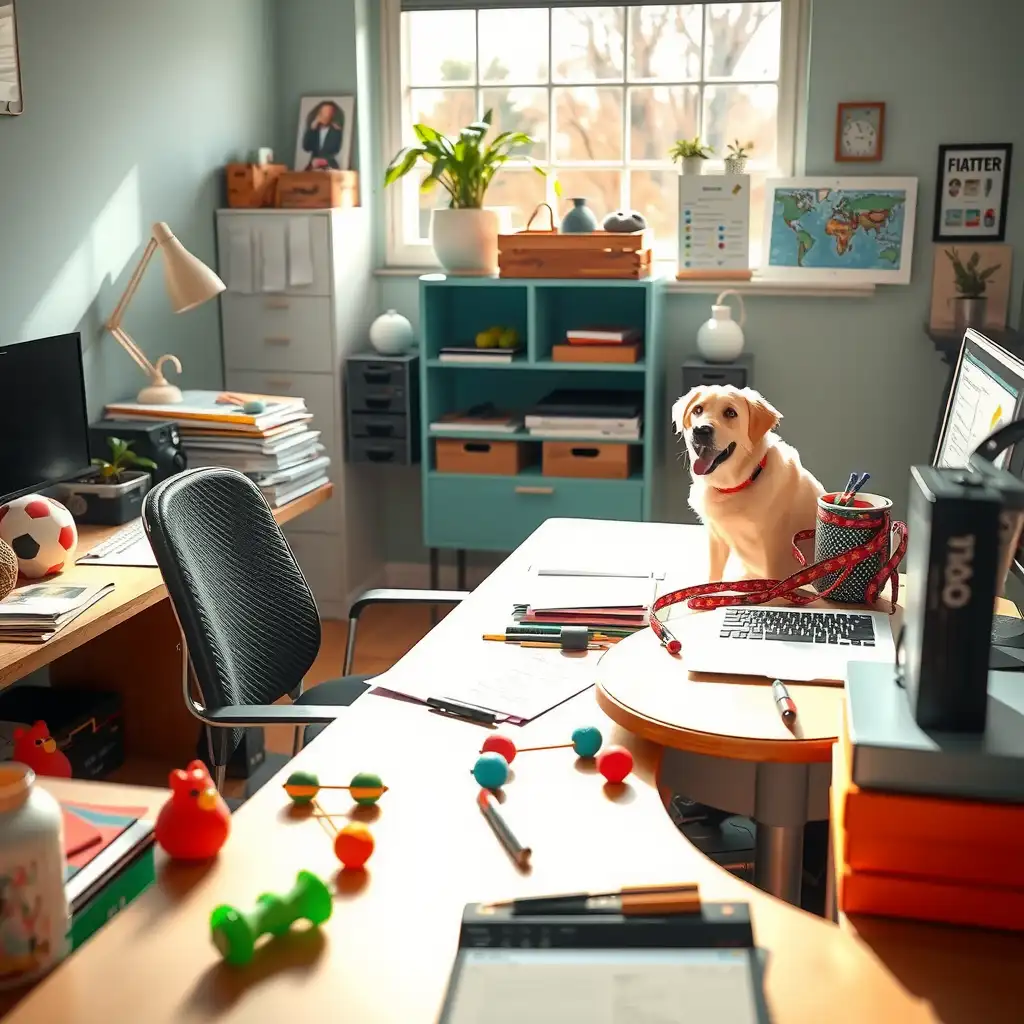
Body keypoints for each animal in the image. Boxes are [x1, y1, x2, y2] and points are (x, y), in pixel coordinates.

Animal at [671, 385, 823, 585]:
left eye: (730, 413)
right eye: (698, 409)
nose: (701, 430)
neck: (736, 486)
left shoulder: (775, 556)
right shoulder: (716, 537)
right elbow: (713, 577)